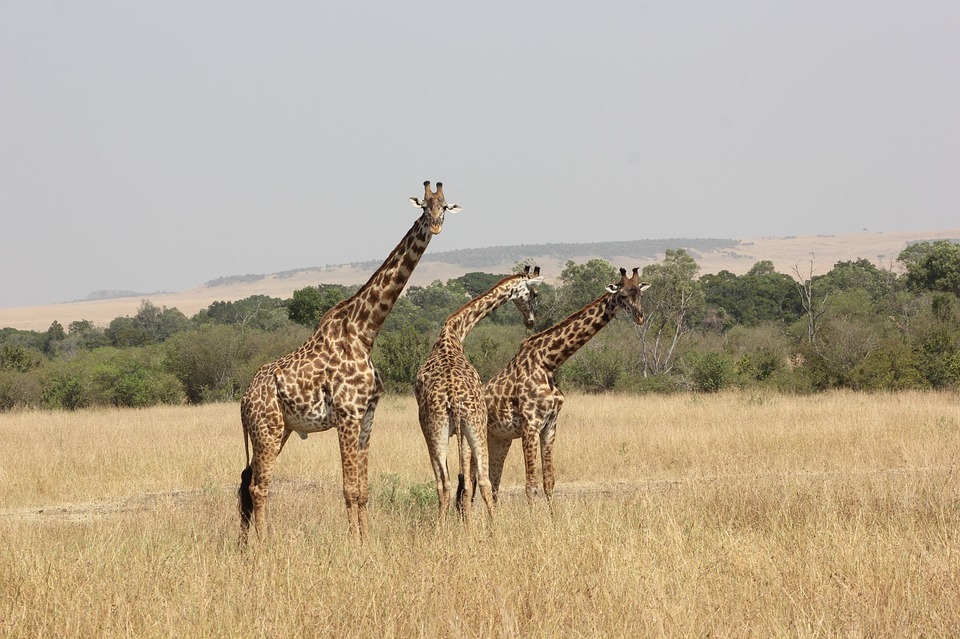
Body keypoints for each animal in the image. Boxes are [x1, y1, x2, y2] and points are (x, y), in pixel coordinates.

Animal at [238, 181, 460, 544]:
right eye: (424, 207)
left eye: (445, 206)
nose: (437, 225)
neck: (364, 331)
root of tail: (244, 400)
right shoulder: (347, 414)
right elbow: (349, 488)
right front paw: (354, 542)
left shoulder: (367, 416)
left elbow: (363, 489)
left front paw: (366, 539)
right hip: (266, 429)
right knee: (259, 485)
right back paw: (264, 542)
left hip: (280, 429)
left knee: (248, 481)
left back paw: (248, 542)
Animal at [415, 266, 543, 525]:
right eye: (534, 294)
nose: (531, 321)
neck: (455, 331)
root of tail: (453, 399)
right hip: (472, 426)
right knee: (482, 481)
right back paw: (492, 528)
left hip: (441, 428)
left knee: (445, 483)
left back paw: (443, 528)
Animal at [482, 267, 651, 502]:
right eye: (623, 295)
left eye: (640, 294)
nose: (640, 317)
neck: (549, 362)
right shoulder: (530, 425)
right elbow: (531, 485)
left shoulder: (550, 426)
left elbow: (549, 482)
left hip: (499, 438)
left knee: (492, 482)